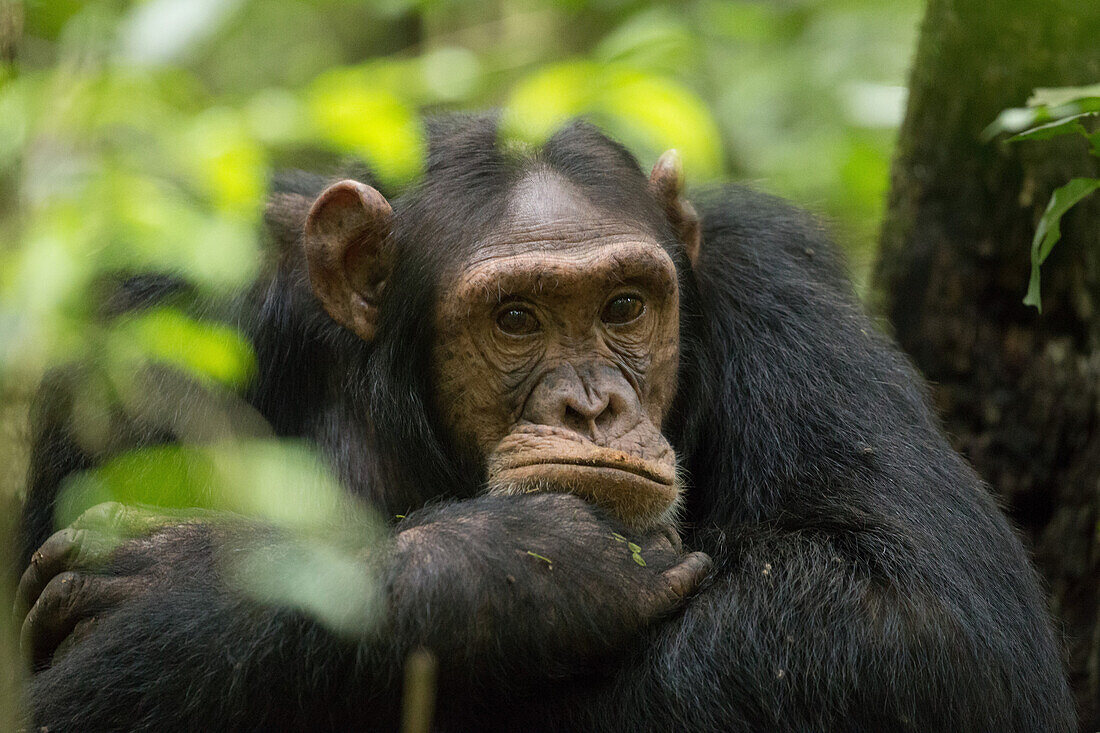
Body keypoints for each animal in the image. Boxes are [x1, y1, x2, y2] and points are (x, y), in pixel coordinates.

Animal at [12, 114, 1073, 726]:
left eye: (625, 307)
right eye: (516, 318)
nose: (594, 403)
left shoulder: (777, 288)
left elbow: (920, 616)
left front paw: (181, 569)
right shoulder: (153, 328)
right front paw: (520, 568)